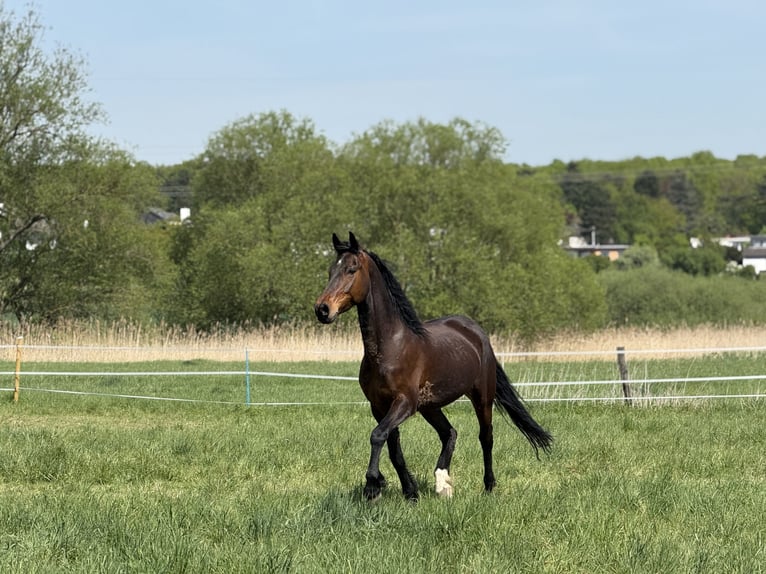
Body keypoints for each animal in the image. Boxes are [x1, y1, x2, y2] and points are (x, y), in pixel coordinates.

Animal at [314, 232, 552, 500]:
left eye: (351, 269)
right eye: (330, 270)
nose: (322, 309)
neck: (391, 347)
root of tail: (476, 332)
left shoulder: (404, 403)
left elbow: (377, 436)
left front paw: (373, 485)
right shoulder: (379, 406)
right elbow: (392, 447)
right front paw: (410, 493)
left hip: (482, 397)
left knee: (486, 437)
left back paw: (488, 486)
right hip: (430, 406)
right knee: (449, 432)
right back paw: (442, 483)